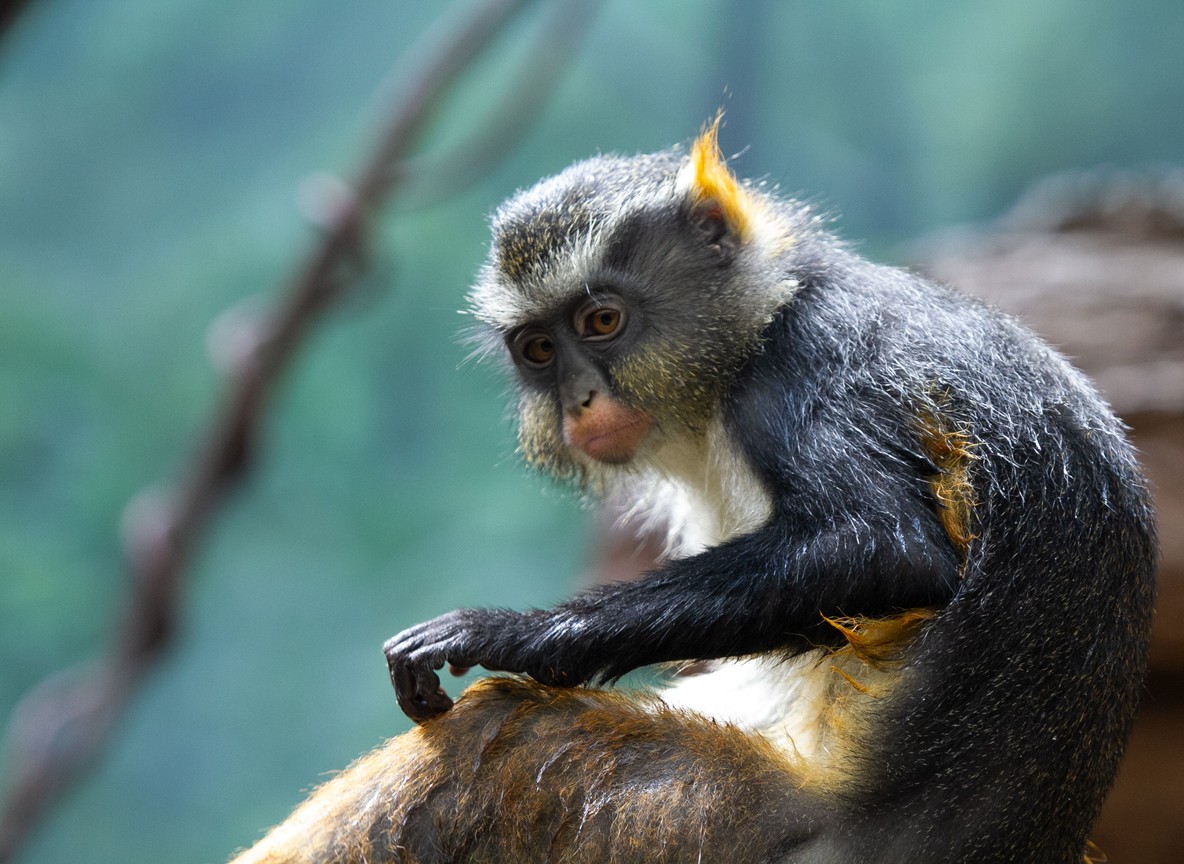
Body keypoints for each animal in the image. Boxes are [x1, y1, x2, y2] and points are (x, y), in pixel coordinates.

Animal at [230, 121, 1156, 864]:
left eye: (602, 322)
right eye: (538, 350)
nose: (580, 400)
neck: (761, 320)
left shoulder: (806, 366)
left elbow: (886, 546)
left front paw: (509, 632)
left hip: (703, 822)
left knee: (506, 740)